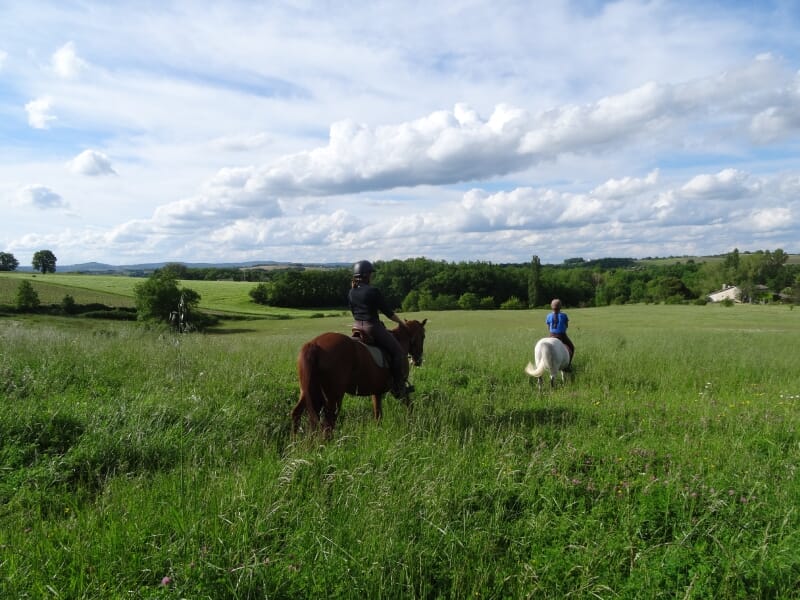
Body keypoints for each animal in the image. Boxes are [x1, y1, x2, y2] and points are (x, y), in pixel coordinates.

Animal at [294, 318, 428, 436]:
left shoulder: (376, 392)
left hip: (307, 392)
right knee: (328, 423)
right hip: (334, 397)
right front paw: (412, 423)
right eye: (423, 336)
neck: (399, 341)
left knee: (297, 414)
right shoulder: (400, 387)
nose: (418, 361)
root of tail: (313, 345)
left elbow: (378, 414)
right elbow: (409, 405)